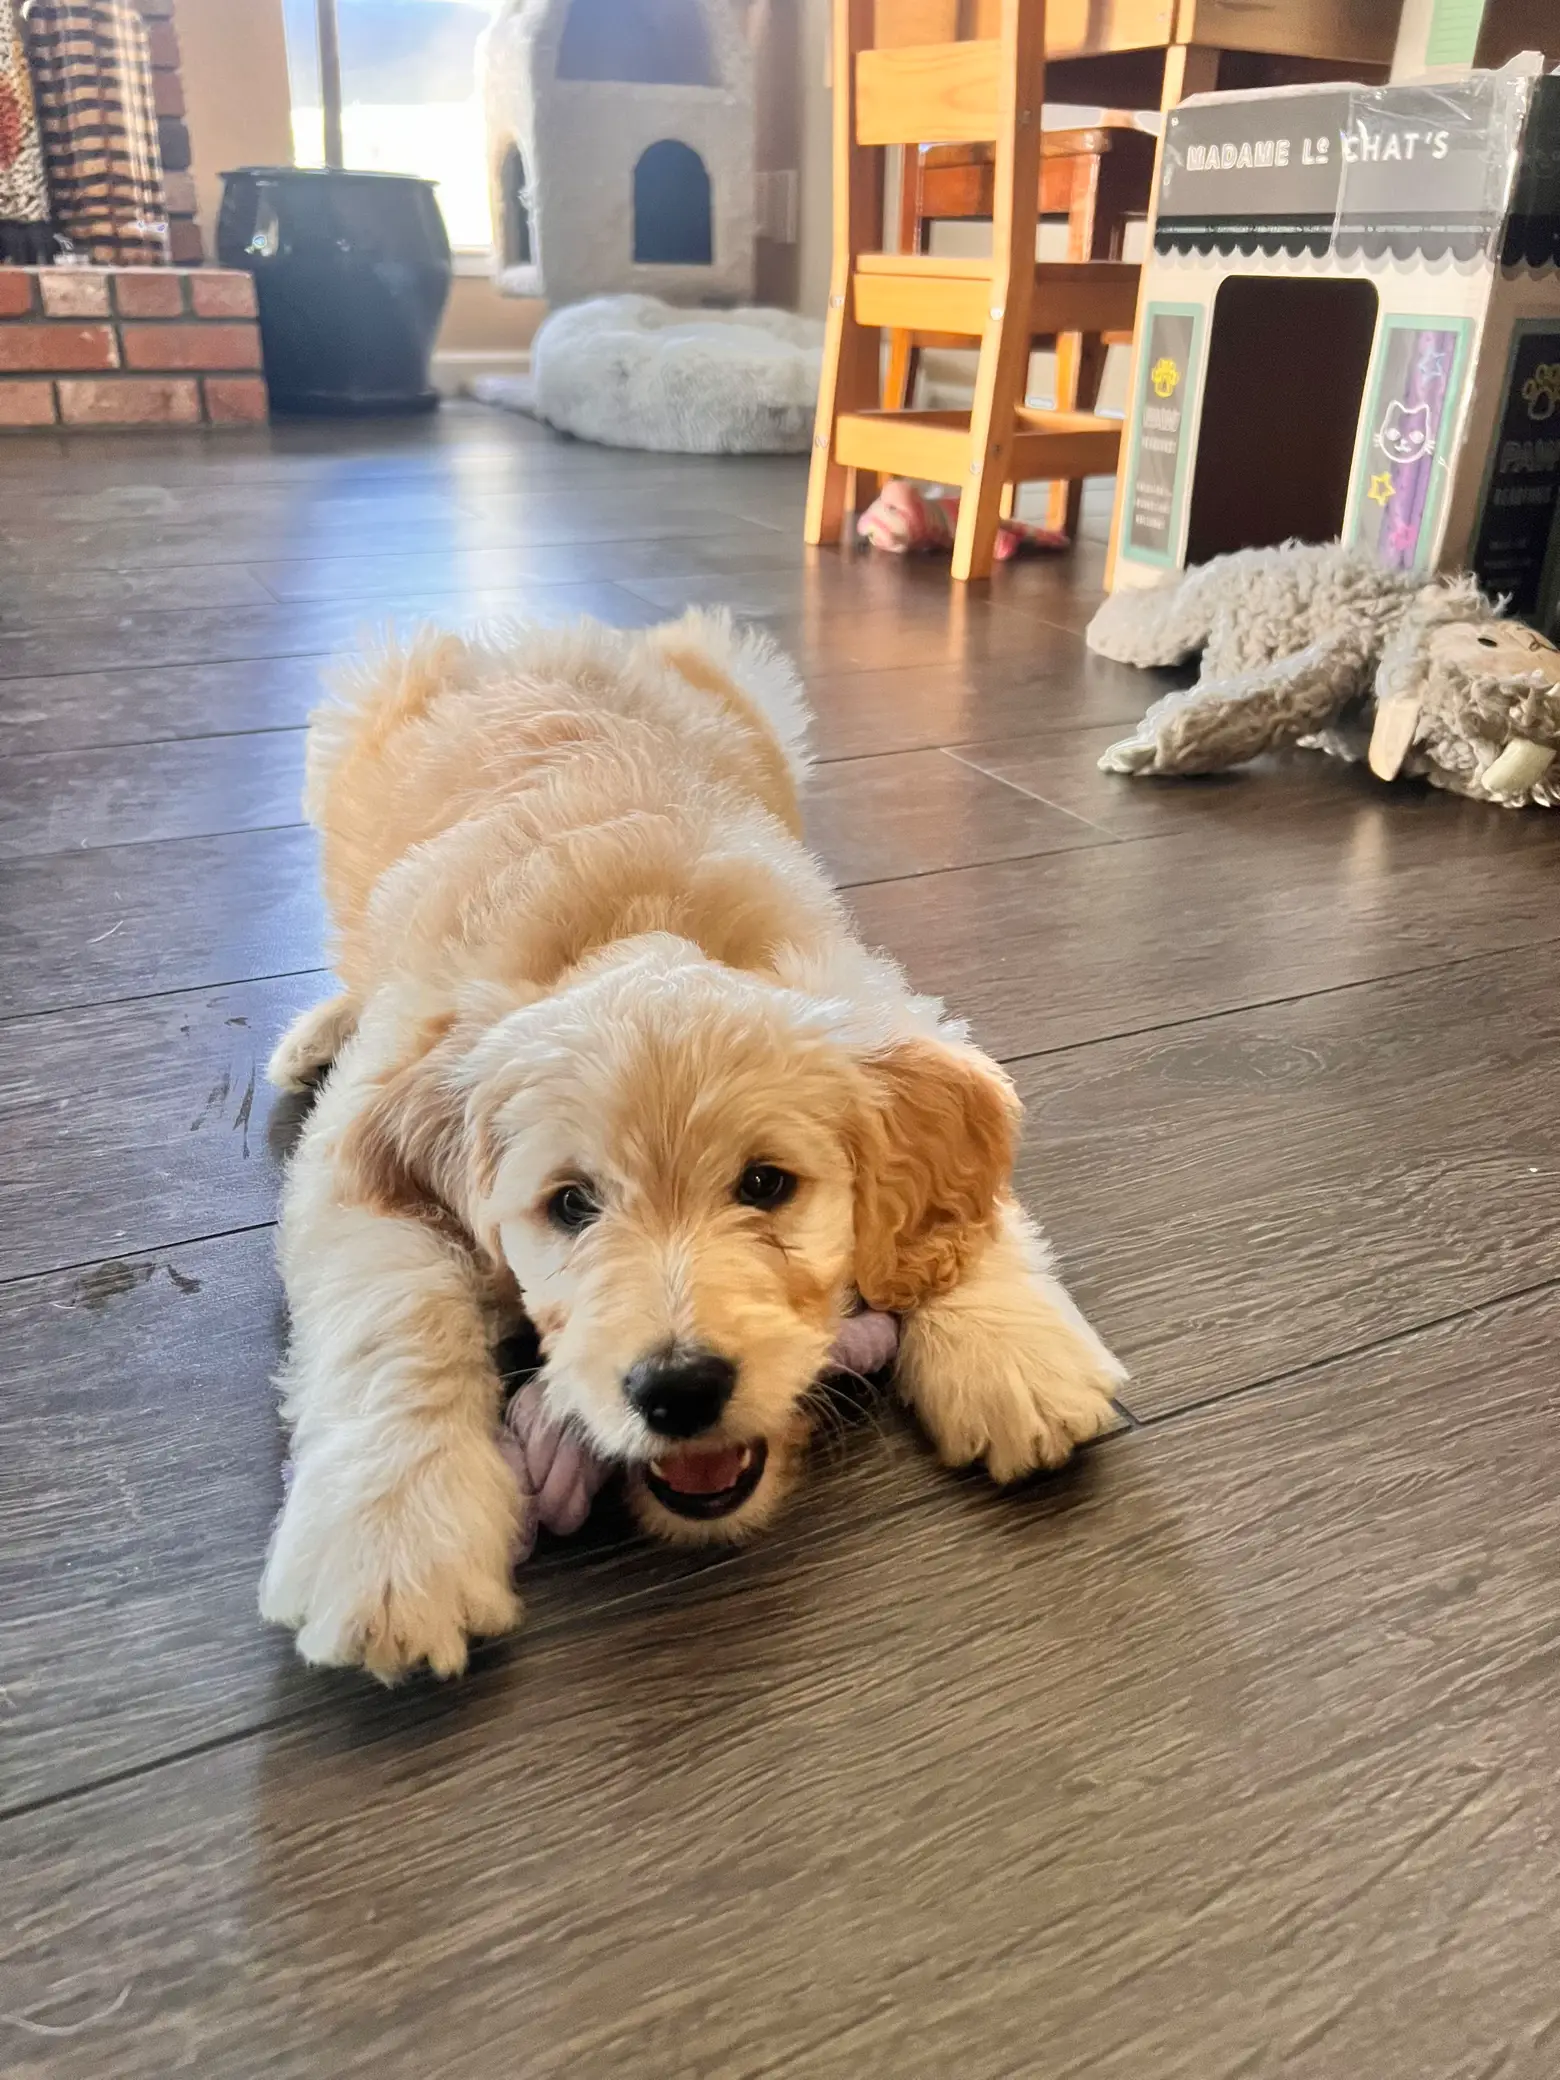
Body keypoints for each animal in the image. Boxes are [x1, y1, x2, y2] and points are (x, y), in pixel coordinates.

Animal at [266, 607, 1123, 1680]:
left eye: (765, 1184)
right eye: (571, 1205)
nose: (679, 1391)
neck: (629, 924)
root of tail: (530, 629)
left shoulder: (871, 994)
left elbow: (962, 1195)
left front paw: (1014, 1353)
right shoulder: (358, 1159)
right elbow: (393, 1313)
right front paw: (396, 1539)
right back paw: (319, 1028)